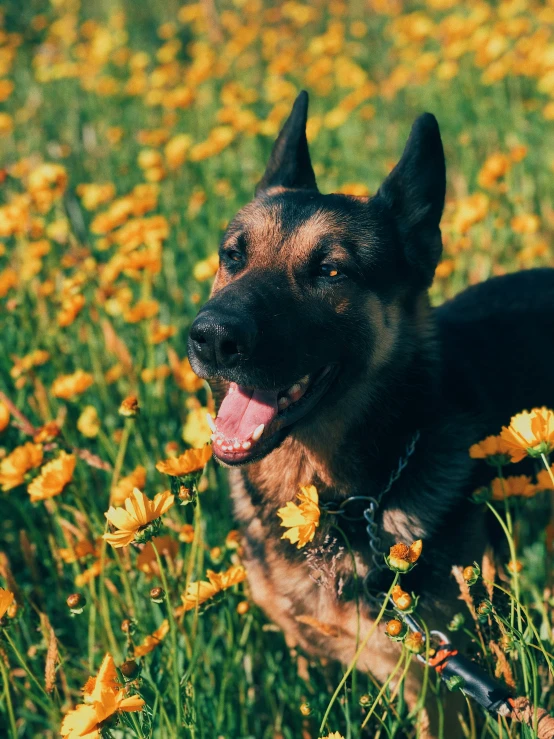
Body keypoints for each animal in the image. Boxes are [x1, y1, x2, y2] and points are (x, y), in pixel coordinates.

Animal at [188, 91, 552, 728]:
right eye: (233, 257)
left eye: (330, 271)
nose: (210, 339)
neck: (343, 503)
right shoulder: (309, 652)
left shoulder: (440, 690)